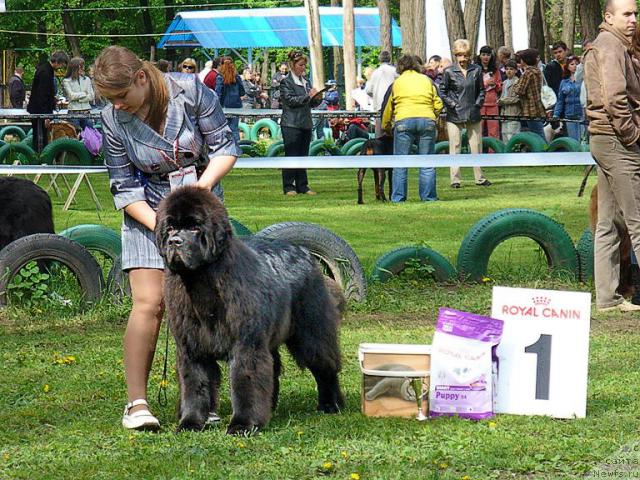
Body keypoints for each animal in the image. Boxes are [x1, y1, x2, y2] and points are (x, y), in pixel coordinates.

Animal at [156, 186, 344, 434]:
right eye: (169, 228)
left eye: (195, 227)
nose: (175, 241)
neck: (201, 282)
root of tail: (305, 253)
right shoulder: (192, 348)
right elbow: (195, 385)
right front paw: (190, 422)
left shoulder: (246, 344)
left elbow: (245, 381)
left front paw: (242, 424)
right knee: (274, 367)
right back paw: (270, 408)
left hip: (310, 331)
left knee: (325, 366)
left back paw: (331, 404)